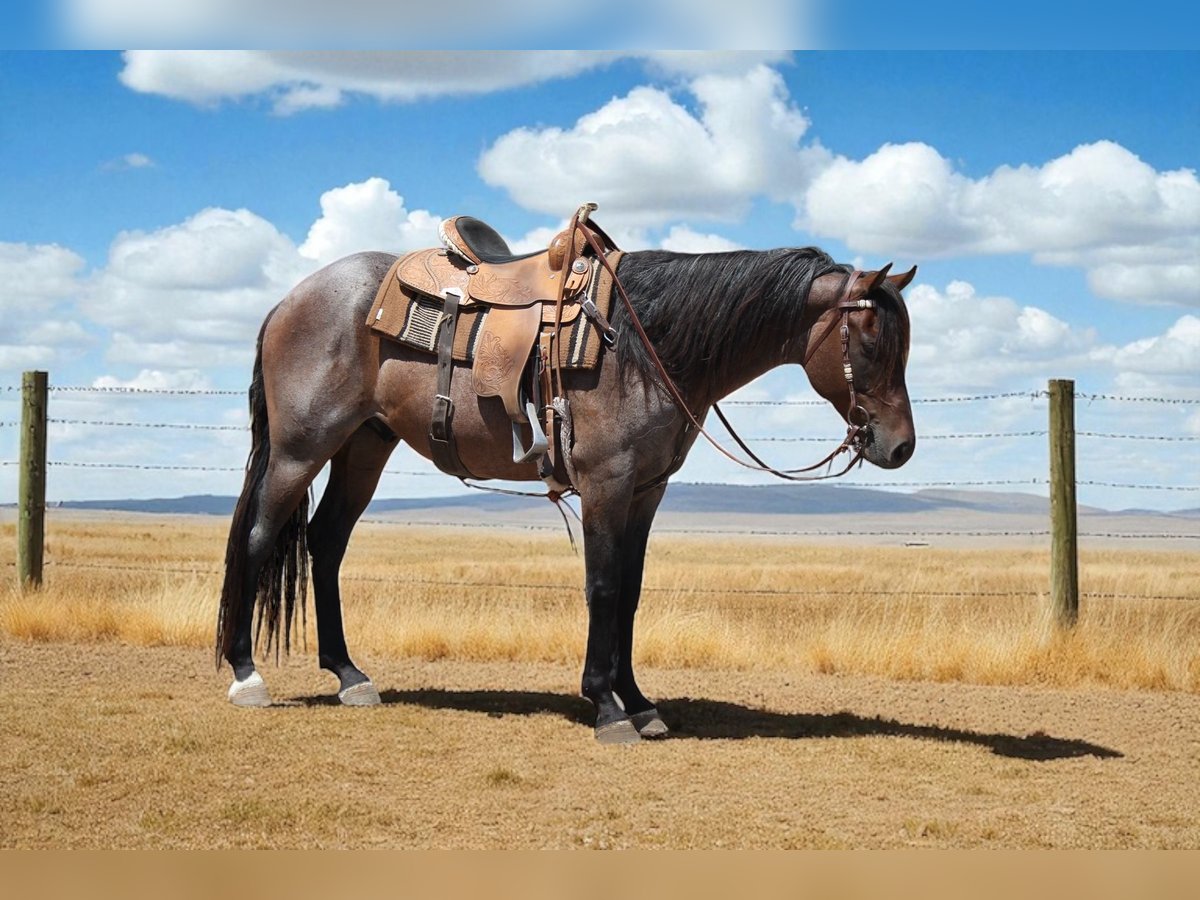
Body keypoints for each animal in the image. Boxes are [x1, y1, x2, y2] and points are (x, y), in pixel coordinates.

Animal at [216, 240, 917, 743]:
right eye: (872, 343)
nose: (900, 447)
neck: (646, 345)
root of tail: (287, 301)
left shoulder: (645, 492)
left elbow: (630, 593)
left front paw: (641, 704)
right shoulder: (606, 485)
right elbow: (602, 588)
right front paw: (607, 707)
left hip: (365, 445)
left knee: (326, 544)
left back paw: (350, 676)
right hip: (301, 449)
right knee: (257, 538)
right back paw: (247, 676)